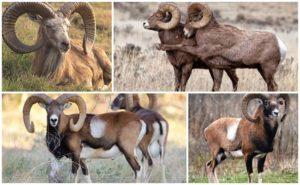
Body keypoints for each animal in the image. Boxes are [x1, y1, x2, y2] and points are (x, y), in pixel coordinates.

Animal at [157, 3, 286, 91]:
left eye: (193, 18)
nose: (185, 32)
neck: (209, 32)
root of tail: (280, 45)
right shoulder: (217, 68)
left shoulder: (200, 50)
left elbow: (182, 46)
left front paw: (160, 46)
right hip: (261, 69)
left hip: (268, 70)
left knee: (273, 86)